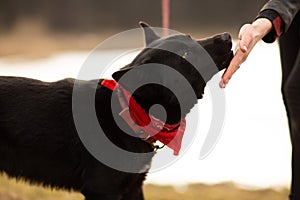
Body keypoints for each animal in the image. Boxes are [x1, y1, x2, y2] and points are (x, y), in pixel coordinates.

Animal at [0, 22, 232, 200]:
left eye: (190, 38)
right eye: (186, 53)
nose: (227, 36)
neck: (130, 111)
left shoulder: (133, 188)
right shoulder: (103, 189)